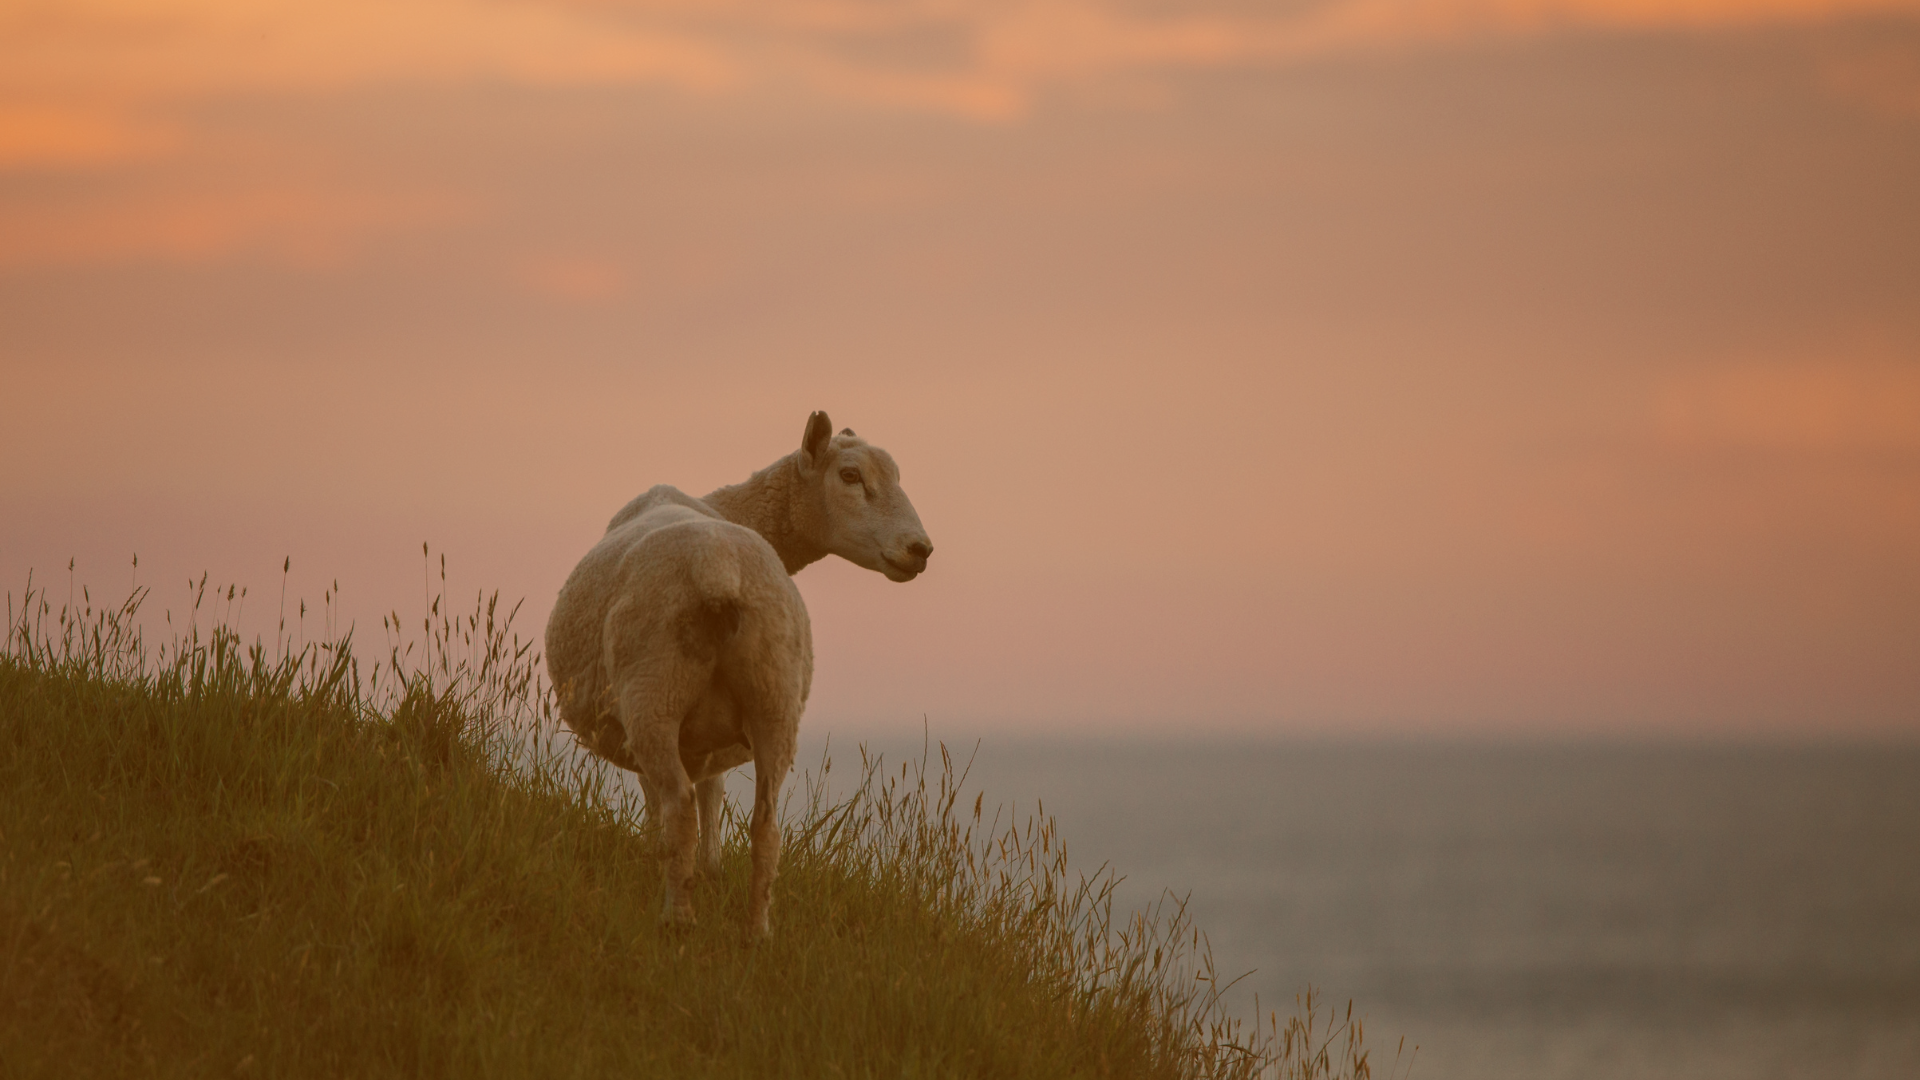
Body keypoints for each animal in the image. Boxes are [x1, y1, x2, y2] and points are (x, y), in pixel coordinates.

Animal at [545, 410, 933, 938]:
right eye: (850, 476)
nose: (921, 549)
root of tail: (718, 567)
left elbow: (670, 807)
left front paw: (667, 868)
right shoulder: (711, 745)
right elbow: (713, 804)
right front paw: (710, 875)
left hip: (652, 696)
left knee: (679, 808)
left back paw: (678, 919)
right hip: (775, 697)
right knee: (765, 826)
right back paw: (756, 933)